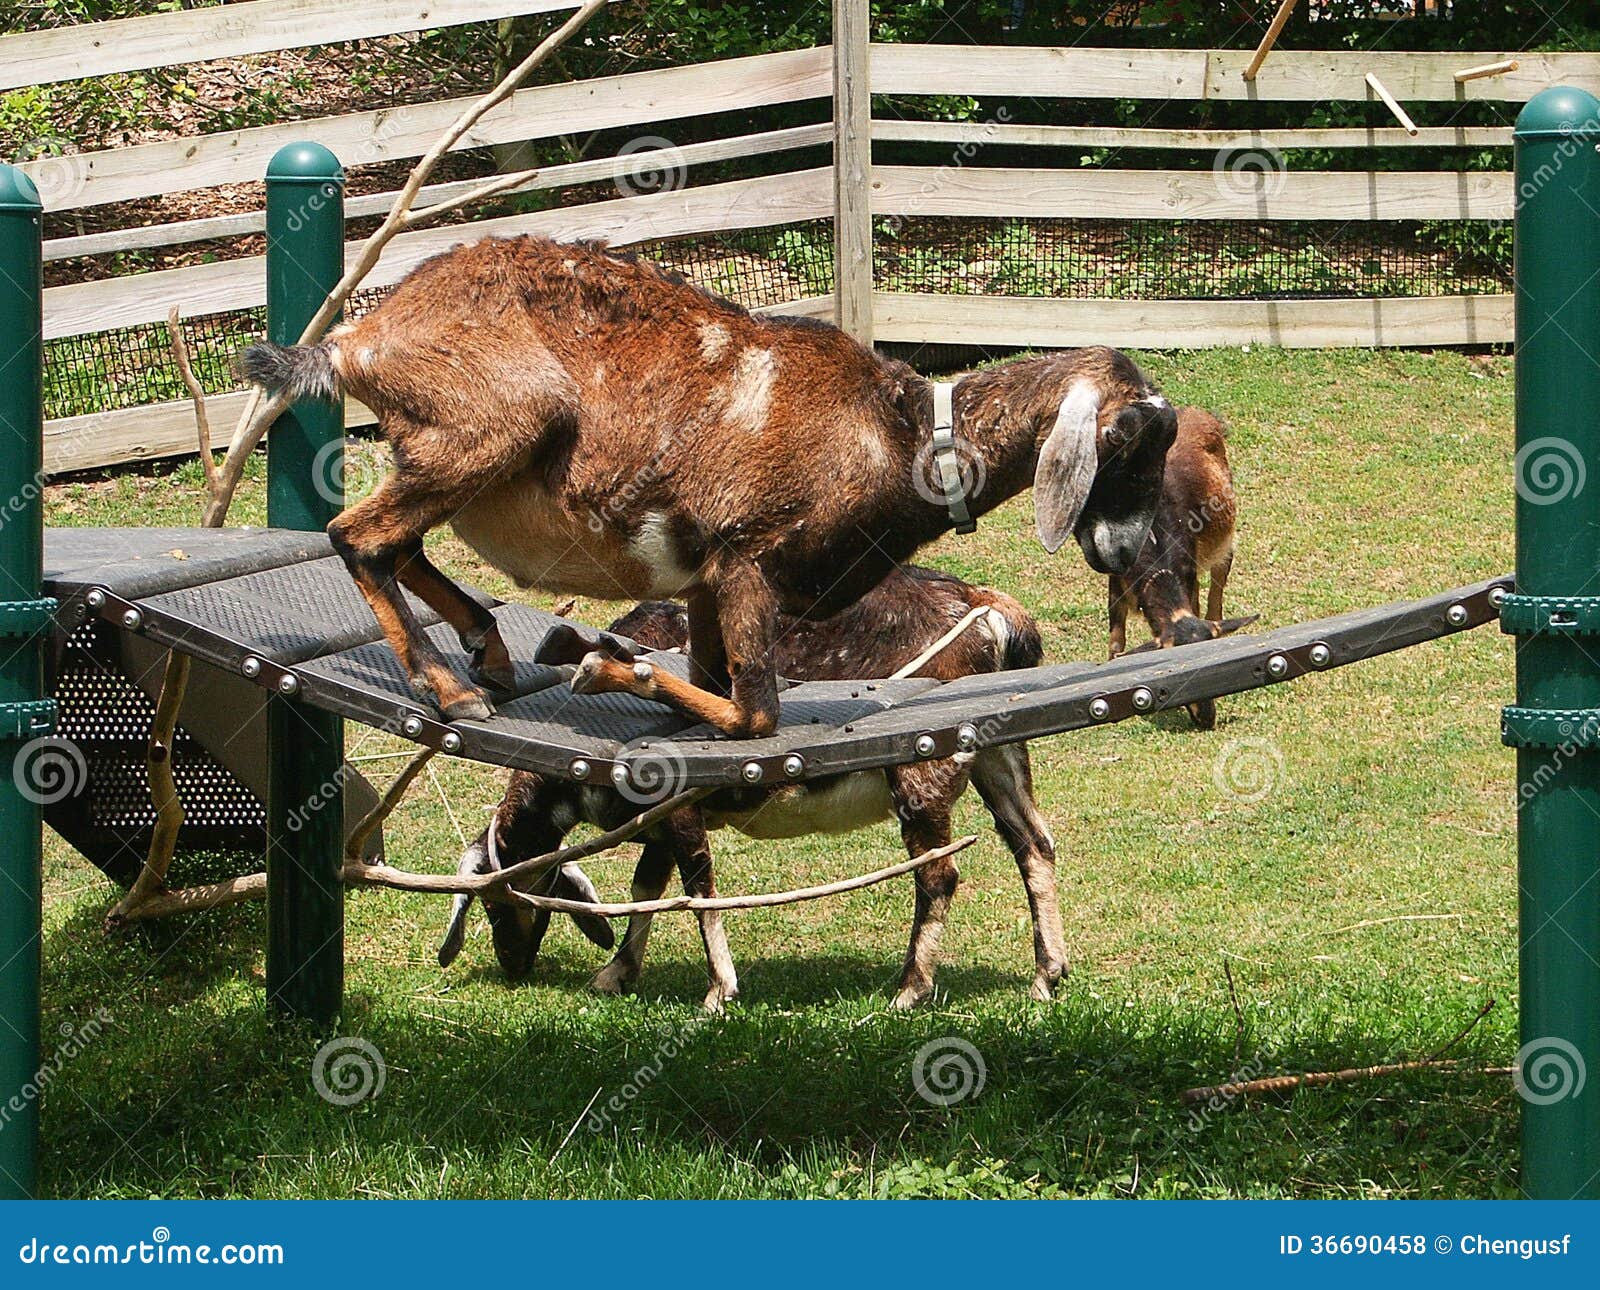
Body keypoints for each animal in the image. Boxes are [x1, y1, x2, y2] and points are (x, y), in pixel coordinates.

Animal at [243, 232, 1184, 736]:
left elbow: (710, 687)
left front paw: (608, 665)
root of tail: (359, 342)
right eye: (1126, 445)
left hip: (456, 458)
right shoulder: (745, 565)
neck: (903, 437)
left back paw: (489, 650)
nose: (1129, 550)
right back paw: (454, 689)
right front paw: (601, 665)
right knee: (361, 537)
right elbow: (756, 713)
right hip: (496, 425)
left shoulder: (699, 582)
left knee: (400, 543)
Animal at [438, 569, 1062, 1017]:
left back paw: (912, 987)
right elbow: (647, 888)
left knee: (939, 875)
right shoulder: (657, 825)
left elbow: (697, 891)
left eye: (495, 901)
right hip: (996, 753)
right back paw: (1047, 974)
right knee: (1034, 845)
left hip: (921, 769)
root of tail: (994, 614)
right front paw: (616, 972)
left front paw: (719, 990)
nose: (512, 965)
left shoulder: (679, 810)